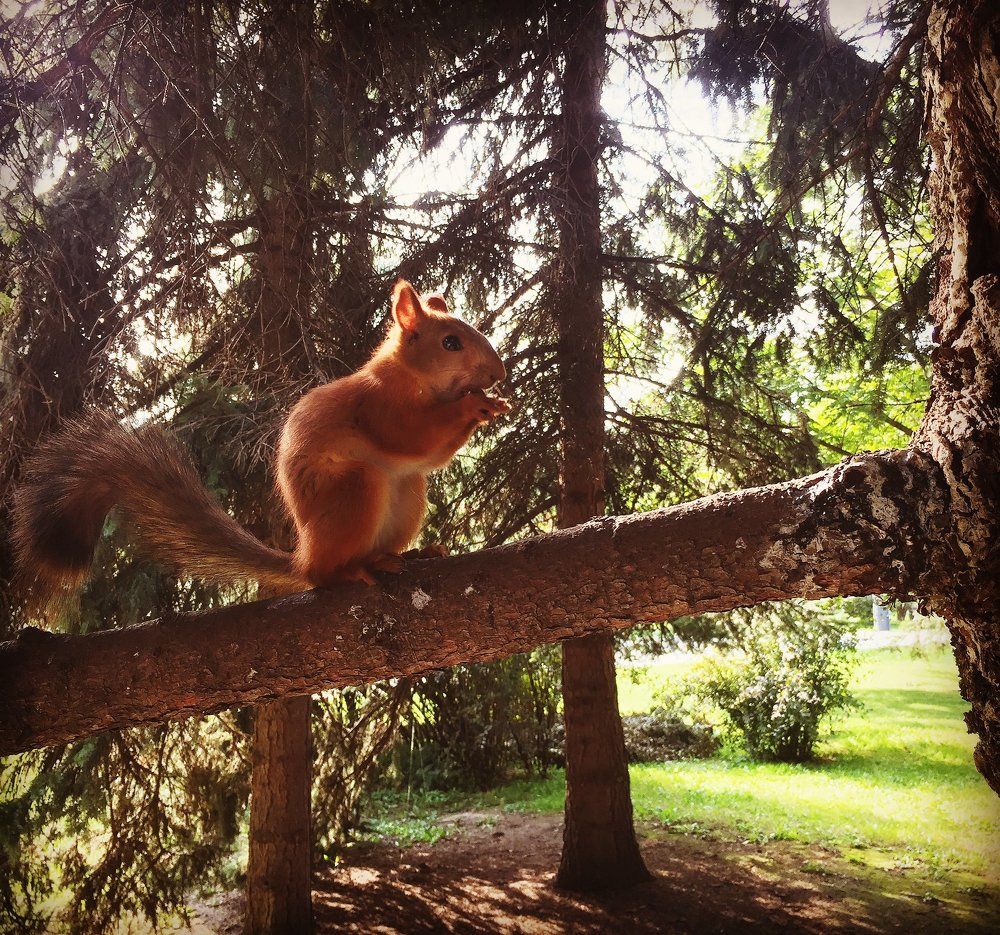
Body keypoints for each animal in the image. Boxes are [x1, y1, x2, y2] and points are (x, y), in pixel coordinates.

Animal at [12, 279, 509, 608]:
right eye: (450, 342)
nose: (498, 372)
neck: (411, 378)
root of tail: (302, 556)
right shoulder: (379, 407)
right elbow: (412, 435)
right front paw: (475, 405)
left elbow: (432, 455)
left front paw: (494, 403)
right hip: (355, 488)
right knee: (323, 574)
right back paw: (351, 571)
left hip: (407, 493)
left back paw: (406, 554)